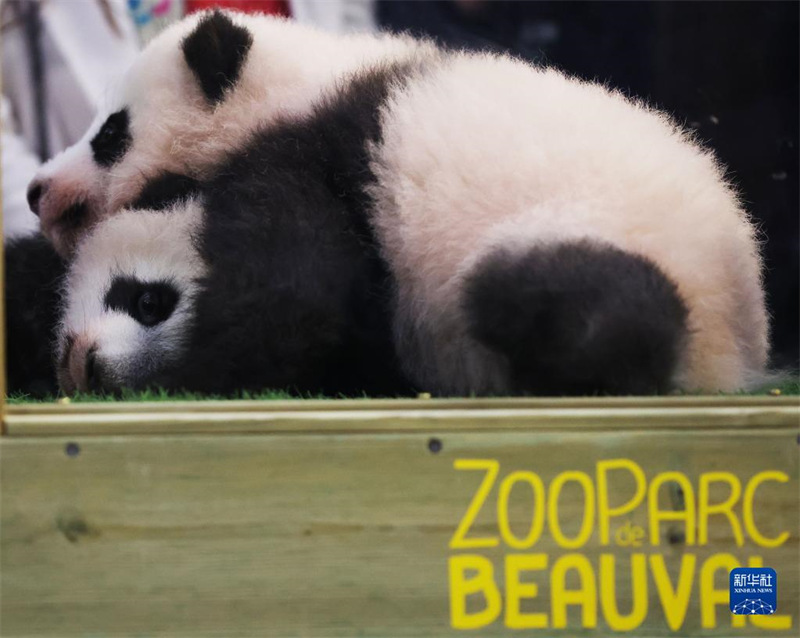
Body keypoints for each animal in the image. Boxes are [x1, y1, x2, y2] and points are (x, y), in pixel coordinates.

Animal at [52, 12, 769, 396]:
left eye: (110, 133)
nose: (41, 192)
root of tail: (735, 356)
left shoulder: (324, 154)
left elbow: (295, 292)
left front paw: (176, 371)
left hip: (599, 238)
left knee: (555, 299)